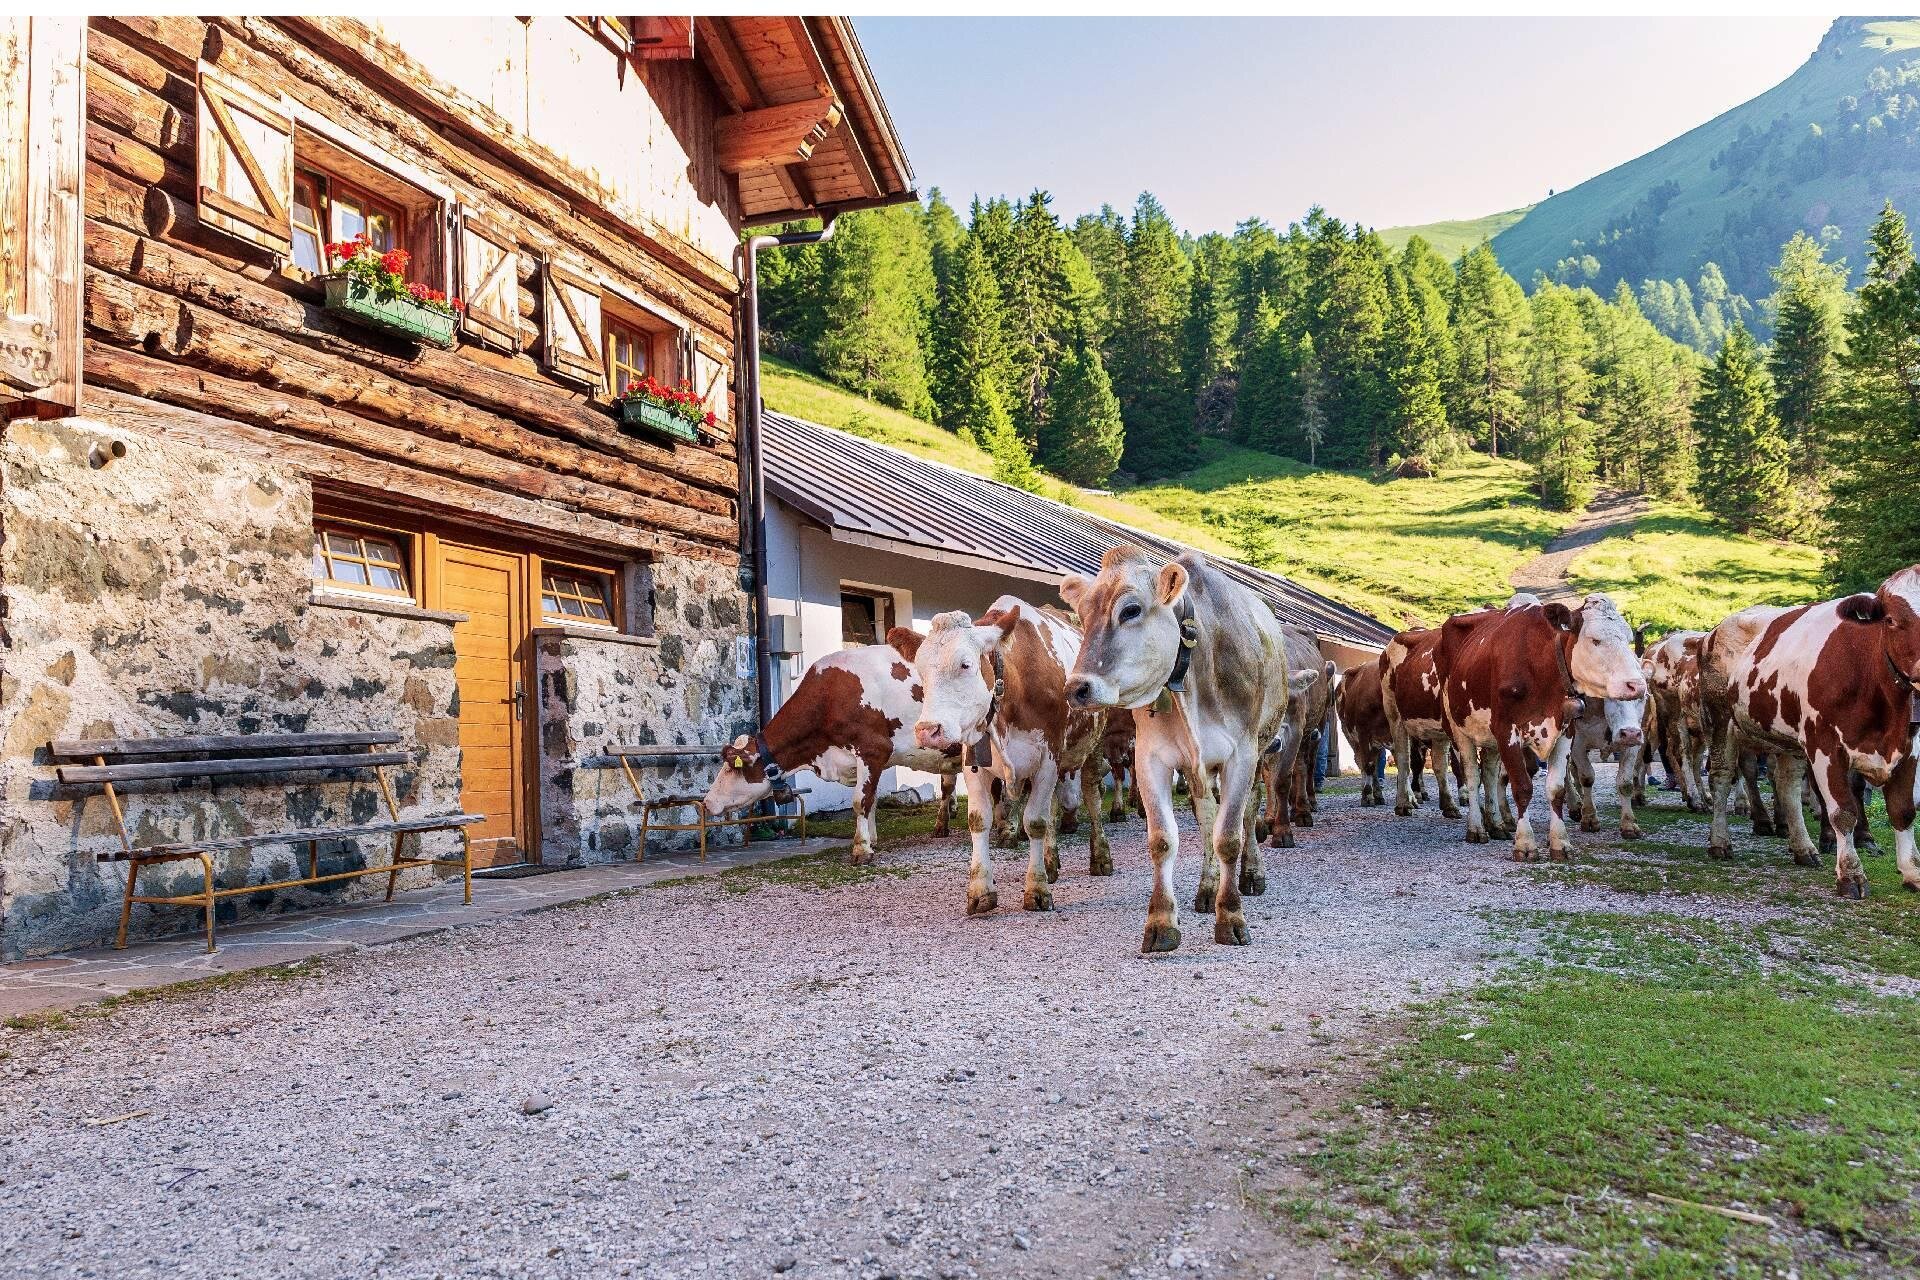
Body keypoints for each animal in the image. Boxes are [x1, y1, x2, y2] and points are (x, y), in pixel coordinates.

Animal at [913, 594, 1113, 917]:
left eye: (965, 664)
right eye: (920, 671)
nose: (927, 730)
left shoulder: (1049, 758)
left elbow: (1035, 822)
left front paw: (1037, 890)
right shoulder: (974, 762)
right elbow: (979, 819)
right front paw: (981, 891)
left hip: (1094, 745)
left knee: (1092, 797)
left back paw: (1101, 857)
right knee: (1053, 806)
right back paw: (1050, 862)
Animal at [1067, 541, 1290, 951]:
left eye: (1131, 609)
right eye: (1083, 613)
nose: (1077, 688)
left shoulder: (1242, 754)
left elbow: (1230, 835)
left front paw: (1231, 917)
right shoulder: (1150, 757)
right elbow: (1163, 839)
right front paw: (1161, 923)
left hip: (1260, 747)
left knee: (1248, 811)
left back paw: (1250, 875)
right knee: (1206, 817)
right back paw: (1207, 888)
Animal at [1336, 656, 1397, 805]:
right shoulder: (1363, 732)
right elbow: (1367, 765)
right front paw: (1367, 796)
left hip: (1376, 741)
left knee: (1373, 764)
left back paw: (1379, 795)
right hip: (1350, 735)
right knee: (1363, 762)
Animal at [1443, 598, 1651, 859]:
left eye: (1627, 638)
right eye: (1595, 640)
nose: (1636, 685)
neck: (1540, 666)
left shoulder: (1565, 733)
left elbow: (1556, 789)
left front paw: (1560, 843)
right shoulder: (1507, 732)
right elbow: (1522, 787)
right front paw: (1525, 844)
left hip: (1489, 739)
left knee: (1489, 774)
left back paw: (1496, 824)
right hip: (1459, 730)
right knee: (1472, 776)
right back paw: (1477, 828)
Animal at [1712, 571, 1920, 901]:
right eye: (1890, 620)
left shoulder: (1910, 747)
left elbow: (1903, 811)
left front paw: (1912, 873)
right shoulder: (1825, 746)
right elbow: (1843, 812)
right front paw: (1850, 875)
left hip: (1787, 738)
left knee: (1786, 785)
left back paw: (1802, 847)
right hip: (1721, 719)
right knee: (1721, 777)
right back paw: (1720, 841)